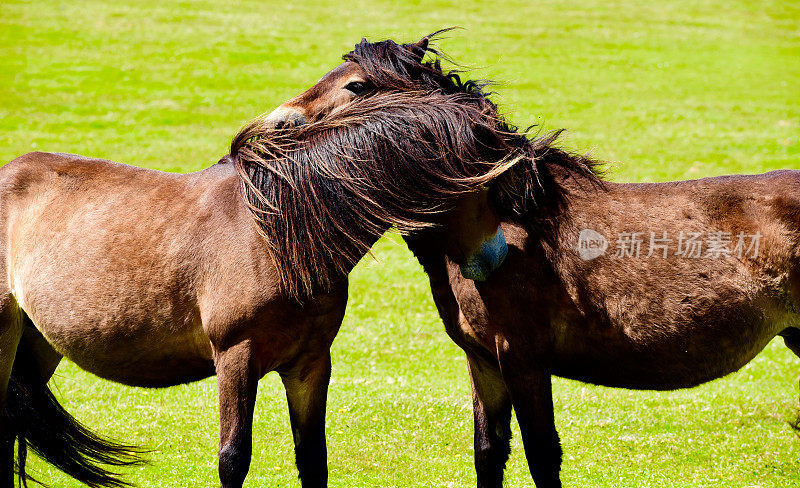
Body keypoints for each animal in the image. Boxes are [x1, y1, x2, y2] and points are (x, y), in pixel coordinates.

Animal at [0, 86, 516, 486]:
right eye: (479, 181)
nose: (496, 256)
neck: (279, 234)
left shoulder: (309, 364)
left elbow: (313, 459)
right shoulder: (235, 357)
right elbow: (233, 459)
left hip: (38, 344)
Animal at [270, 32, 800, 486]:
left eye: (356, 84)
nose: (276, 121)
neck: (508, 221)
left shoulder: (522, 359)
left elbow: (542, 455)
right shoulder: (483, 360)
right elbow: (489, 452)